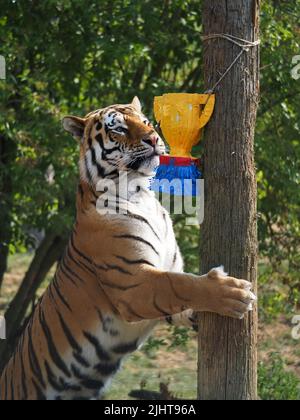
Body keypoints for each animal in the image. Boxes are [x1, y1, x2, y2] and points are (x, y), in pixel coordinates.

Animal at [0, 96, 255, 400]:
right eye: (118, 129)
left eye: (145, 121)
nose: (153, 137)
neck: (140, 192)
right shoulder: (133, 283)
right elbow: (181, 285)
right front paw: (233, 293)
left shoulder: (161, 278)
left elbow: (182, 292)